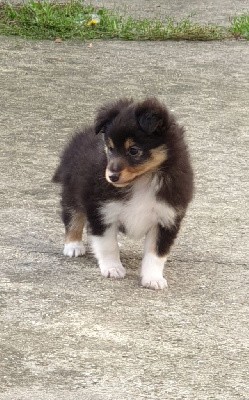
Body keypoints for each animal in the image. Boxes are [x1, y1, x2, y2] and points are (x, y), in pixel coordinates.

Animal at [52, 98, 193, 290]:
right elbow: (107, 245)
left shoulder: (166, 218)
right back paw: (73, 246)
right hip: (72, 191)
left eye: (133, 150)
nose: (111, 176)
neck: (143, 181)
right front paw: (112, 268)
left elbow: (156, 254)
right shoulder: (102, 210)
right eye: (110, 148)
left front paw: (153, 278)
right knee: (73, 217)